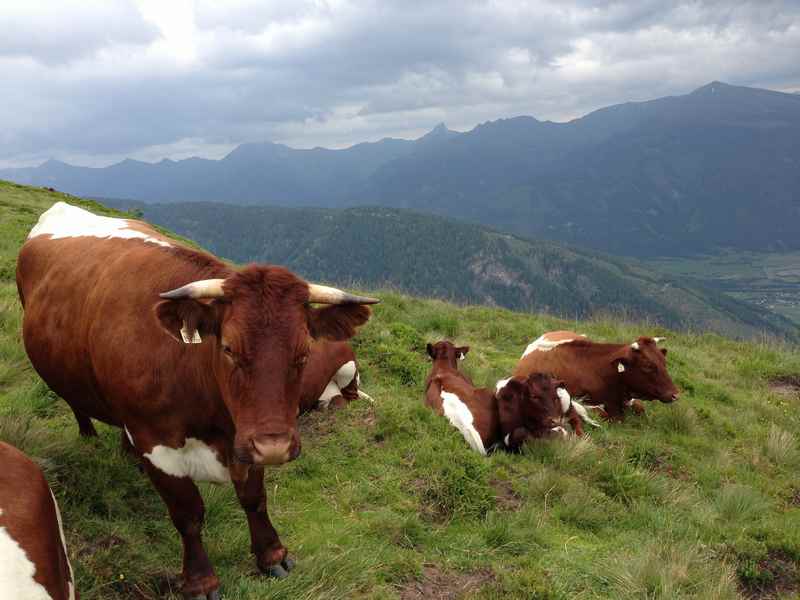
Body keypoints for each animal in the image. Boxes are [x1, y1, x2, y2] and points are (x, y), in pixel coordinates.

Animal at [15, 203, 378, 600]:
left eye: (304, 352)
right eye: (229, 348)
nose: (275, 447)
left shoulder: (244, 436)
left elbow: (254, 498)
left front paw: (272, 555)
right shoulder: (156, 441)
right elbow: (188, 515)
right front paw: (200, 580)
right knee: (77, 404)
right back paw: (89, 438)